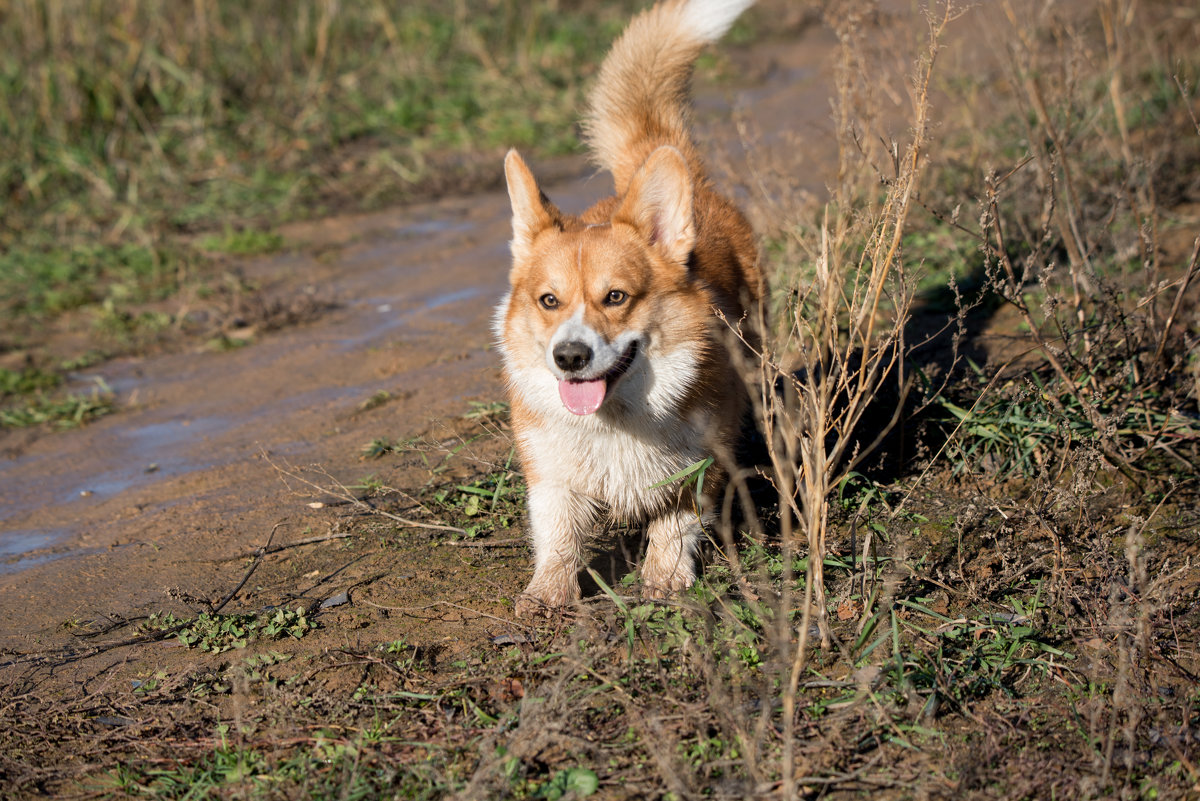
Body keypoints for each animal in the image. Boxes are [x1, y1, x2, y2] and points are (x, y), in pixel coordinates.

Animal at [489, 0, 758, 613]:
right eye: (549, 301)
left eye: (615, 297)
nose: (569, 357)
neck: (615, 419)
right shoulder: (550, 474)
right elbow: (557, 533)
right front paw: (547, 594)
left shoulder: (698, 463)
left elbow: (674, 522)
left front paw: (664, 580)